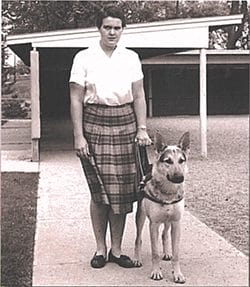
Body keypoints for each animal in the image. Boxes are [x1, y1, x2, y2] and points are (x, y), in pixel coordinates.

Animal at [134, 132, 190, 284]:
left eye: (181, 160)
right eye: (168, 161)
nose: (179, 178)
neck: (168, 192)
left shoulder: (176, 224)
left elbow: (176, 254)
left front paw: (177, 274)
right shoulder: (153, 225)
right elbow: (155, 252)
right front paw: (156, 272)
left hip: (168, 221)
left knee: (165, 235)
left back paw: (166, 252)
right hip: (141, 217)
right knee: (138, 239)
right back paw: (136, 258)